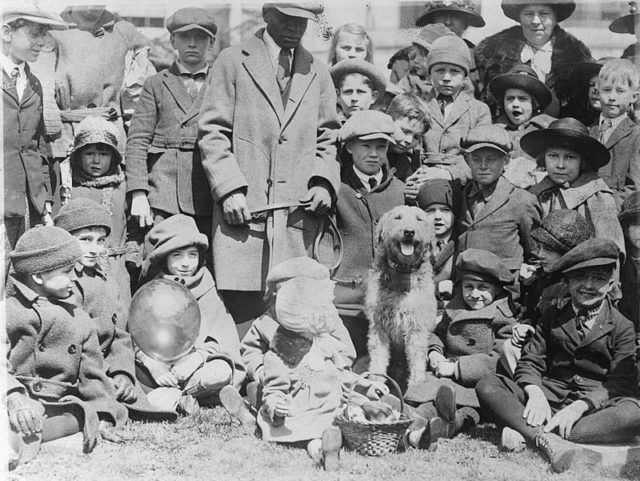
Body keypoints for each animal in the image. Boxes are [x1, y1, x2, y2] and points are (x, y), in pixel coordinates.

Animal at [368, 204, 438, 388]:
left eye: (419, 219)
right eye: (397, 217)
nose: (409, 232)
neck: (402, 272)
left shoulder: (416, 328)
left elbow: (416, 360)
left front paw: (416, 385)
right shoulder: (378, 325)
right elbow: (378, 356)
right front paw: (375, 381)